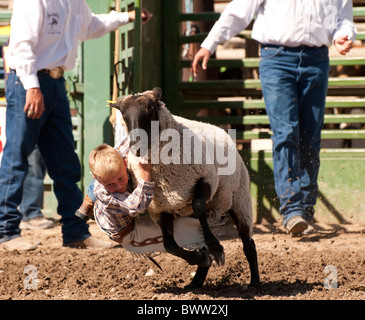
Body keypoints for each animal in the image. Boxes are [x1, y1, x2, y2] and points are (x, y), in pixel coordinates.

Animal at [111, 87, 258, 288]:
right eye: (124, 115)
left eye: (150, 108)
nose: (136, 147)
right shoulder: (160, 208)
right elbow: (170, 245)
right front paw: (201, 258)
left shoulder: (207, 179)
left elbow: (198, 204)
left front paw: (216, 249)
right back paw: (196, 281)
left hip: (239, 200)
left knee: (248, 243)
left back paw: (254, 283)